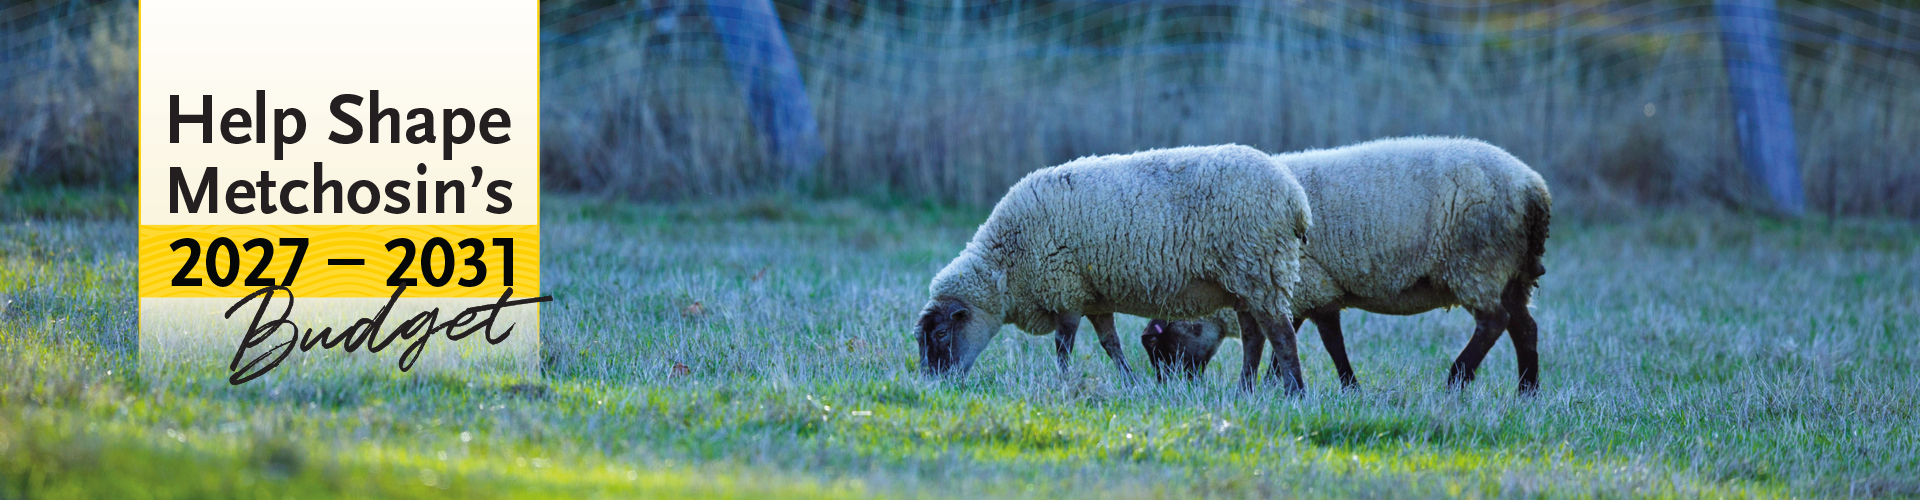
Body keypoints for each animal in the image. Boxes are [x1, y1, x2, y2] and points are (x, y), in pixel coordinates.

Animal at [915, 144, 1314, 391]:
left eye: (941, 335)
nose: (932, 384)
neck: (1007, 263)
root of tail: (1295, 198)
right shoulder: (1093, 298)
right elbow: (1111, 344)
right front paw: (1130, 382)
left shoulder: (1066, 291)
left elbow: (1063, 346)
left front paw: (1064, 381)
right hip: (1245, 282)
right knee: (1254, 338)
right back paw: (1245, 390)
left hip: (1260, 269)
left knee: (1281, 335)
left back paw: (1294, 392)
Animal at [1139, 137, 1552, 393]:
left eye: (1163, 348)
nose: (1170, 388)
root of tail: (1533, 188)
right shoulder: (1315, 289)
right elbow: (1318, 339)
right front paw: (1343, 386)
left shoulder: (1306, 283)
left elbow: (1312, 340)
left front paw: (1286, 384)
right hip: (1512, 272)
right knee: (1525, 328)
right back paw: (1527, 392)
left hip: (1476, 262)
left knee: (1494, 322)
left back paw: (1457, 379)